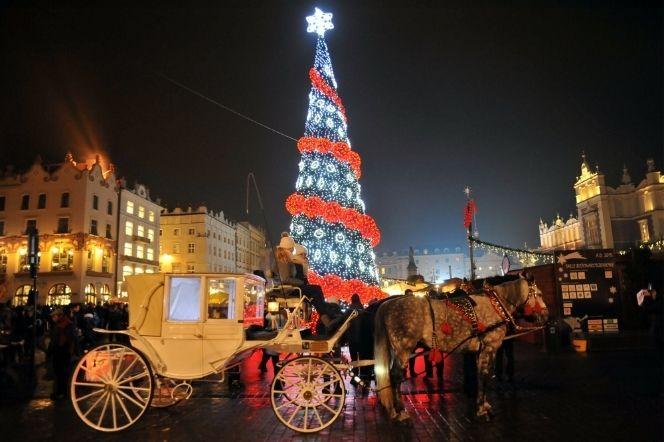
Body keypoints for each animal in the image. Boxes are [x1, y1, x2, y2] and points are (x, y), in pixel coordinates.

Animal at [374, 274, 548, 424]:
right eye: (539, 294)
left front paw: (484, 405)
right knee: (396, 376)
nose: (546, 316)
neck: (495, 304)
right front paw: (481, 410)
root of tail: (388, 304)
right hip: (404, 349)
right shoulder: (490, 347)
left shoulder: (479, 351)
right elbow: (485, 375)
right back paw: (401, 412)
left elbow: (479, 375)